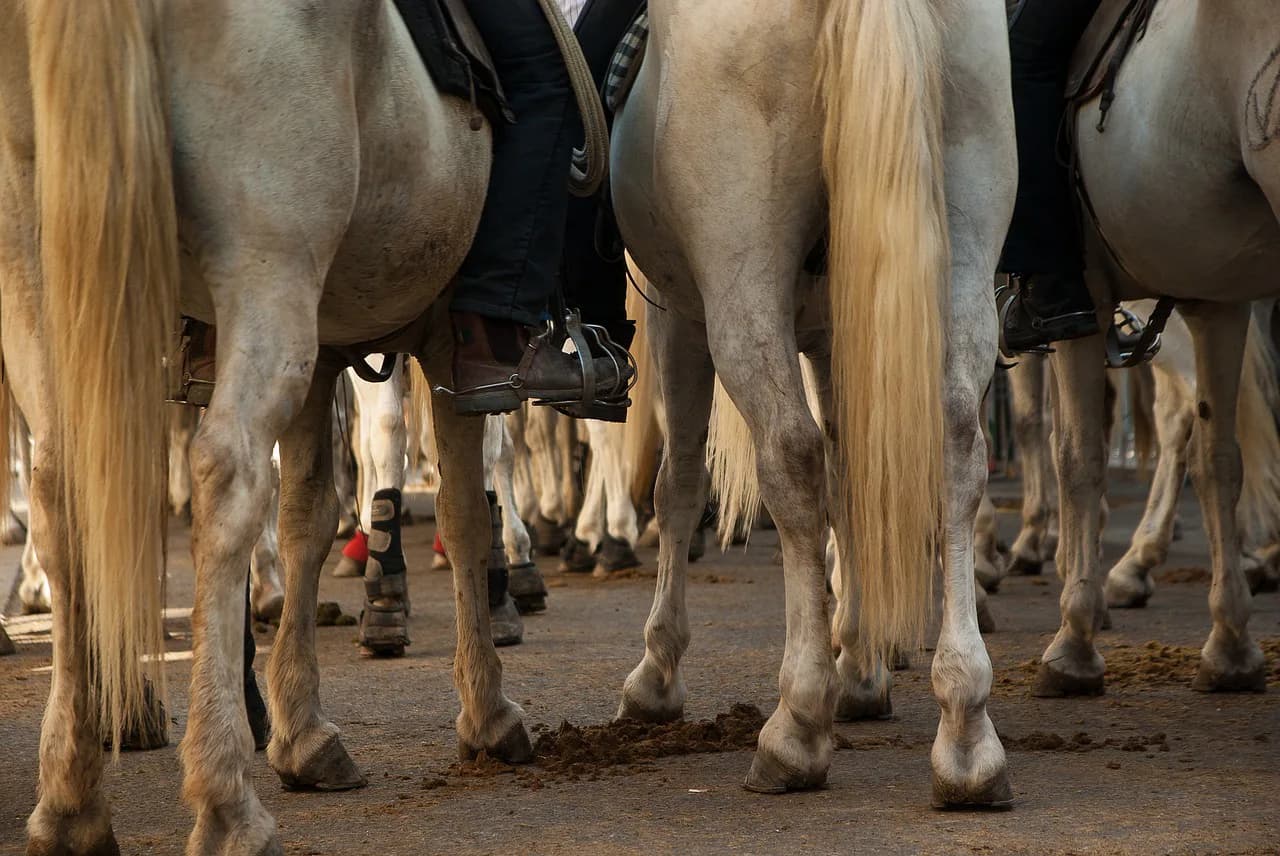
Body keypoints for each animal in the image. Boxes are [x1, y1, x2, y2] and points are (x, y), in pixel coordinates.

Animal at [0, 1, 600, 850]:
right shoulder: (448, 339)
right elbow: (461, 512)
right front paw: (489, 713)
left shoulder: (327, 354)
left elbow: (308, 516)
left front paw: (305, 734)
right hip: (266, 267)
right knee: (225, 477)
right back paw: (224, 798)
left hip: (40, 265)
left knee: (62, 487)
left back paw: (72, 801)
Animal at [610, 0, 1017, 802]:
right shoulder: (839, 329)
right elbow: (853, 475)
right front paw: (859, 666)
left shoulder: (679, 314)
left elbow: (680, 484)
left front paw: (657, 674)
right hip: (961, 245)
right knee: (955, 448)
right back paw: (965, 728)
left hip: (740, 278)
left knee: (792, 457)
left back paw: (796, 726)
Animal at [1040, 0, 1280, 696]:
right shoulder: (1219, 302)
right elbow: (1219, 458)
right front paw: (1230, 648)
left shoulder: (1079, 299)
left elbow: (1076, 452)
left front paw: (1074, 637)